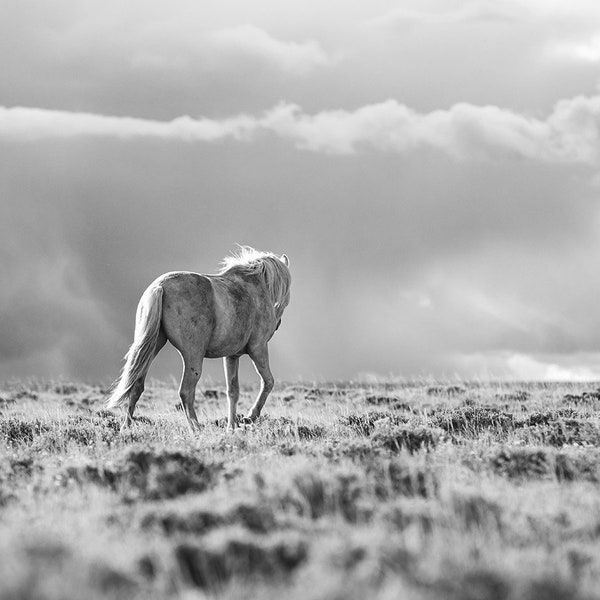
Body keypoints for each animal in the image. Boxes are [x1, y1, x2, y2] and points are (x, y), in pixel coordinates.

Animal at [106, 246, 292, 434]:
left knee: (136, 385)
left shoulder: (232, 356)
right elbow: (268, 382)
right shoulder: (258, 348)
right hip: (193, 356)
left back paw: (126, 426)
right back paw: (196, 428)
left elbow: (233, 392)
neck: (254, 288)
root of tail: (160, 286)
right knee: (186, 392)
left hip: (152, 346)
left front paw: (231, 427)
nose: (278, 324)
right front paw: (250, 416)